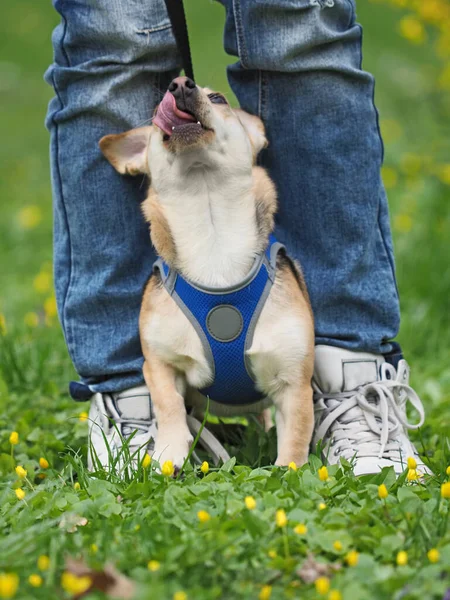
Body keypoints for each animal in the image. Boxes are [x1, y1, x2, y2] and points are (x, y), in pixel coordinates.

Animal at [100, 76, 314, 468]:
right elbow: (168, 406)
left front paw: (289, 473)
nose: (180, 84)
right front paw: (169, 454)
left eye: (218, 98)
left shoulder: (293, 381)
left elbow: (295, 438)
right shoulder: (160, 365)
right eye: (157, 109)